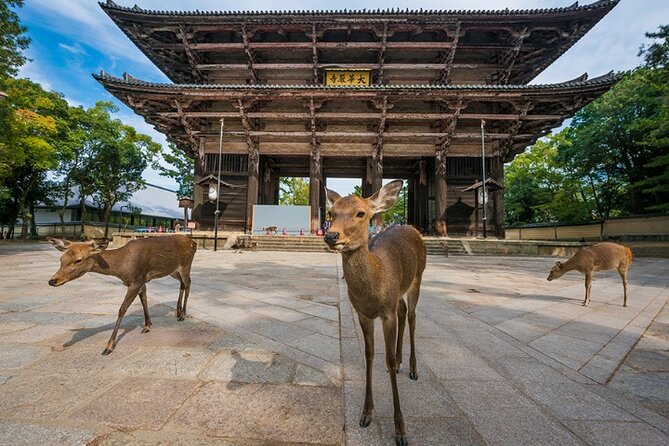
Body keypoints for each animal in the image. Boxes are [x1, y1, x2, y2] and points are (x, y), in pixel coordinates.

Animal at [47, 235, 197, 355]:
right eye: (61, 259)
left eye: (78, 260)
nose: (52, 281)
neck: (122, 268)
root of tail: (193, 242)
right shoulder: (141, 280)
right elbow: (144, 300)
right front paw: (147, 326)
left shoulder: (136, 281)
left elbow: (122, 309)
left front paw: (108, 347)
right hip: (173, 271)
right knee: (182, 284)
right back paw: (178, 312)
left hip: (185, 265)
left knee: (188, 284)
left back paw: (183, 315)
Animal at [324, 180, 426, 446]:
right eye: (331, 213)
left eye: (361, 213)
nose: (331, 235)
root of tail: (410, 227)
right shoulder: (363, 313)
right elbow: (369, 355)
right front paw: (366, 414)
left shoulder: (386, 312)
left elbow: (386, 359)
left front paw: (401, 431)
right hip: (398, 293)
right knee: (403, 310)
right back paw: (401, 363)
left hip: (418, 277)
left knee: (412, 315)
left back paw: (412, 369)